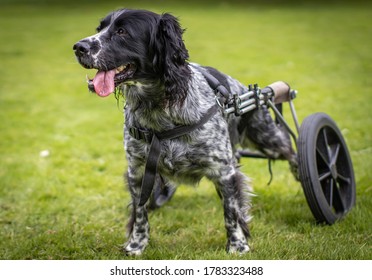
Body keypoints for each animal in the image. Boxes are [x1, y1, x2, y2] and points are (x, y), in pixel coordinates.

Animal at [74, 8, 298, 255]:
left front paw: (238, 246)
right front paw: (136, 245)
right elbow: (140, 212)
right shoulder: (138, 171)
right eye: (100, 29)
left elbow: (231, 211)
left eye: (122, 31)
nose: (78, 47)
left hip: (268, 137)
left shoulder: (224, 171)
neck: (158, 110)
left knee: (292, 151)